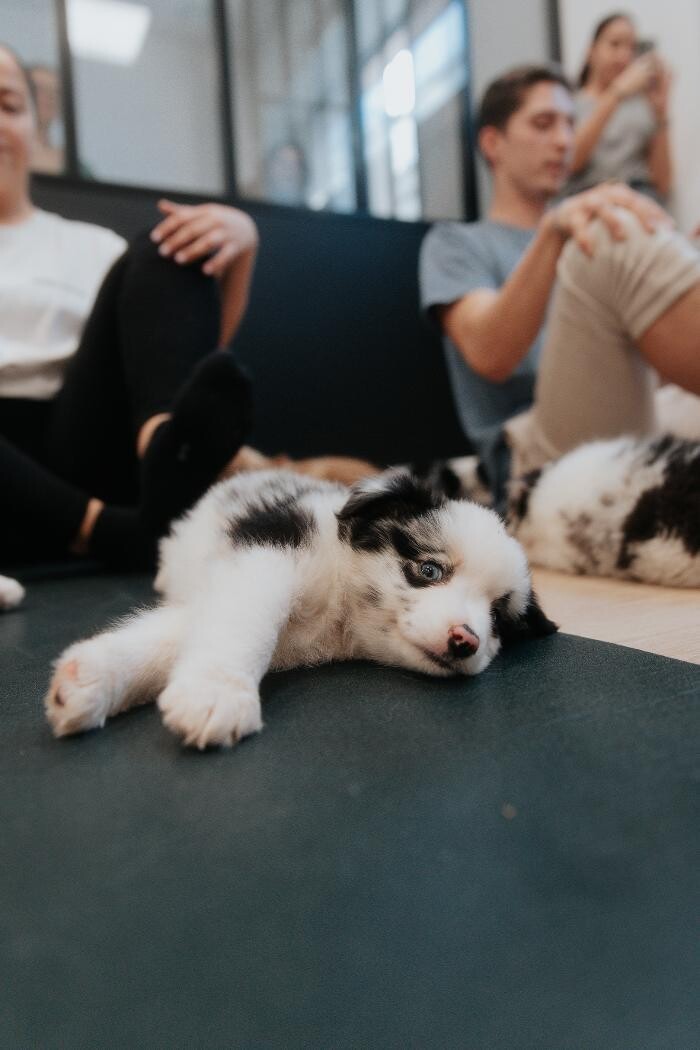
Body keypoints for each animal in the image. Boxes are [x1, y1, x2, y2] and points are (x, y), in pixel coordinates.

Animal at [45, 468, 558, 747]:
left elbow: (179, 632)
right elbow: (244, 618)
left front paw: (89, 680)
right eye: (429, 570)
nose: (465, 640)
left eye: (497, 619)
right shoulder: (270, 553)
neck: (338, 612)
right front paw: (217, 694)